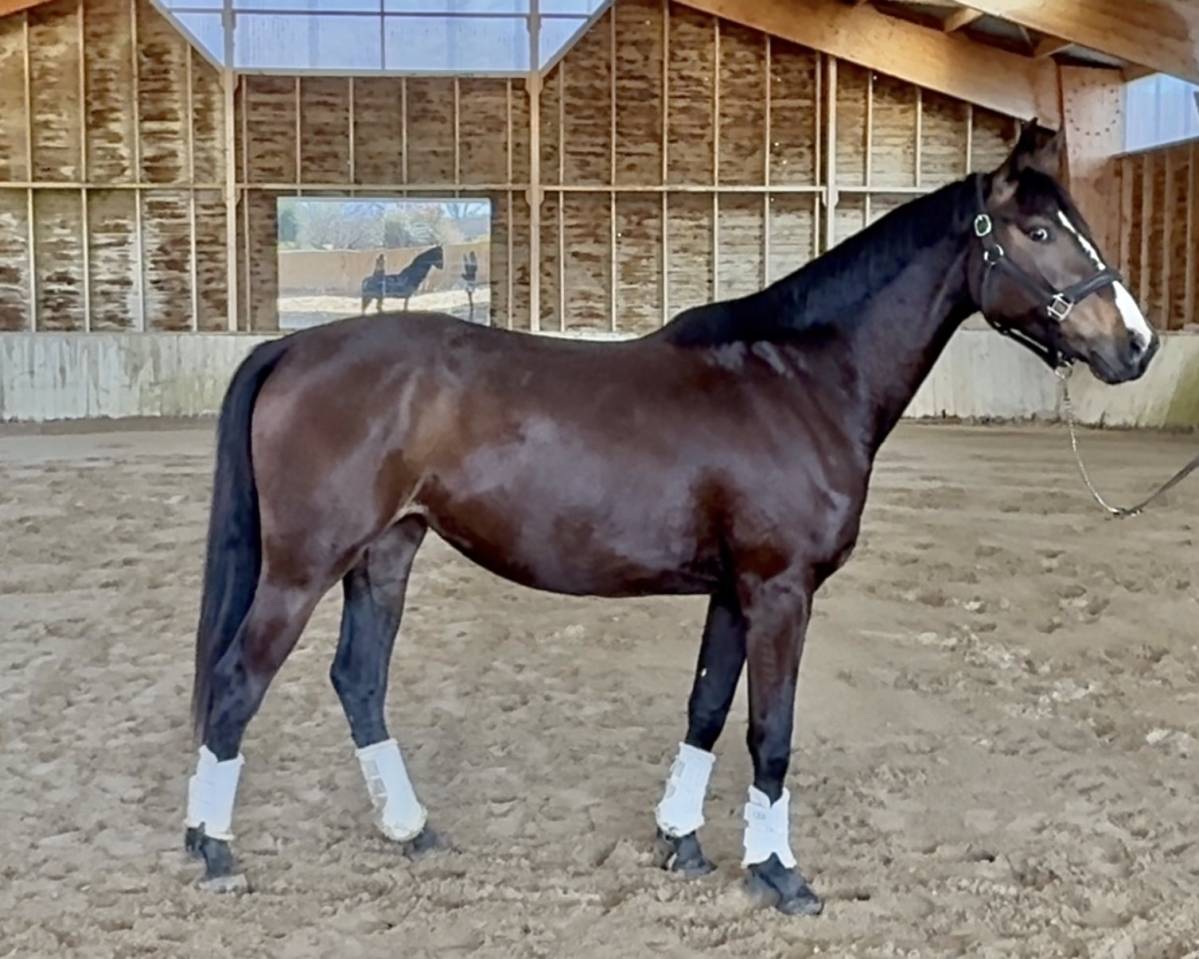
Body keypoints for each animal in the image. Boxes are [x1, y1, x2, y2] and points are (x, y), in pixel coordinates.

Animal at [185, 123, 1158, 913]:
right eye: (1038, 232)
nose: (1137, 345)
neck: (799, 378)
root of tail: (291, 347)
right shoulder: (779, 590)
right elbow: (770, 732)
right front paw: (778, 873)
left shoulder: (732, 591)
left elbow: (706, 708)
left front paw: (681, 841)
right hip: (303, 565)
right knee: (237, 682)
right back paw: (216, 851)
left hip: (385, 551)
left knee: (358, 679)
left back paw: (409, 828)